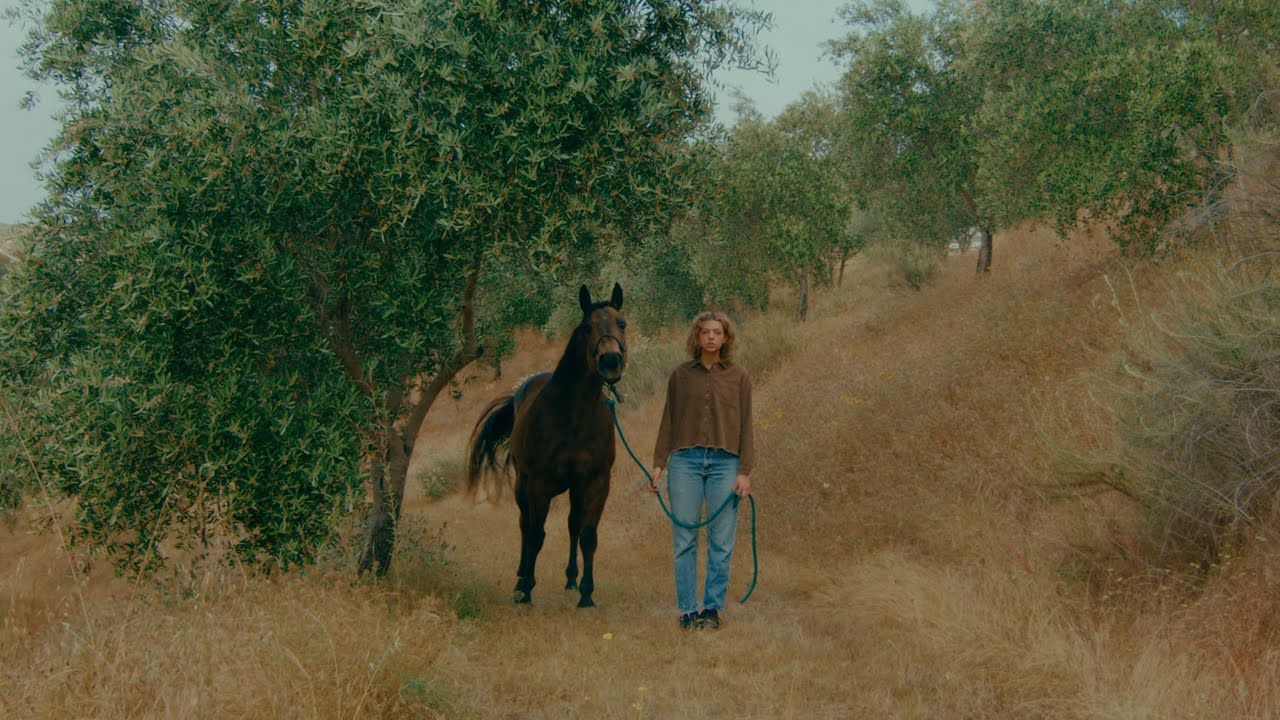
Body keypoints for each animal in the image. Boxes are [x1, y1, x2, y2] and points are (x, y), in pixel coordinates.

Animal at [465, 283, 627, 607]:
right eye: (587, 327)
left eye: (622, 324)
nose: (611, 361)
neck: (575, 416)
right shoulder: (539, 483)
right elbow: (536, 535)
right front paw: (526, 590)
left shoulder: (596, 481)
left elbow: (587, 535)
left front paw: (586, 595)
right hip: (523, 485)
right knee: (525, 526)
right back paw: (520, 579)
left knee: (572, 524)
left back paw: (571, 579)